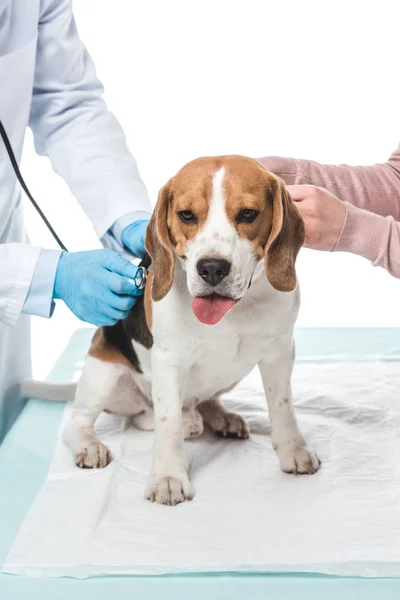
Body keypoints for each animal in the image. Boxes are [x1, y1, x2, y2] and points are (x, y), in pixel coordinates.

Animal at [61, 156, 318, 506]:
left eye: (248, 214)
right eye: (186, 215)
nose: (212, 268)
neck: (234, 312)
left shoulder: (279, 353)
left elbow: (283, 407)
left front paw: (294, 450)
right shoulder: (169, 363)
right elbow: (167, 423)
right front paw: (168, 478)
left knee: (196, 403)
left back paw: (217, 417)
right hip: (105, 373)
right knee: (89, 420)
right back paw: (91, 444)